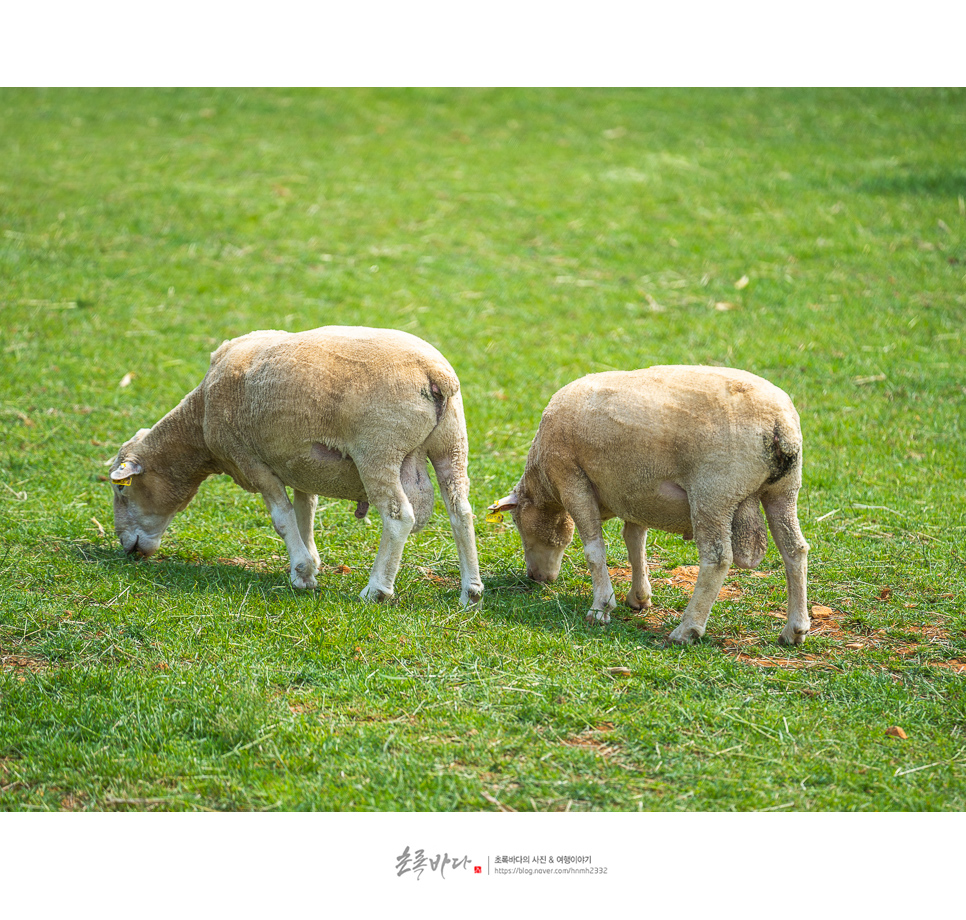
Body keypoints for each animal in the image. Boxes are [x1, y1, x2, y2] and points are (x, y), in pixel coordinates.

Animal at [108, 328, 484, 608]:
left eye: (121, 489)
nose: (128, 548)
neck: (197, 423)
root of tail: (435, 373)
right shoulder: (303, 464)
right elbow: (306, 511)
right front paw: (312, 565)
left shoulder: (251, 462)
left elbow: (283, 518)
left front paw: (301, 573)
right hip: (453, 444)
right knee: (460, 511)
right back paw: (471, 592)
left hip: (378, 450)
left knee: (399, 517)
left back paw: (377, 589)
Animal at [488, 366, 812, 648]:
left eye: (517, 522)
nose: (535, 578)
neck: (545, 482)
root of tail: (778, 423)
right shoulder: (637, 493)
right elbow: (635, 543)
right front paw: (639, 597)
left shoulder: (572, 479)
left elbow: (595, 550)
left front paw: (601, 607)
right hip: (784, 491)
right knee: (794, 550)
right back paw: (794, 630)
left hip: (714, 494)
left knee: (717, 559)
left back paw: (687, 629)